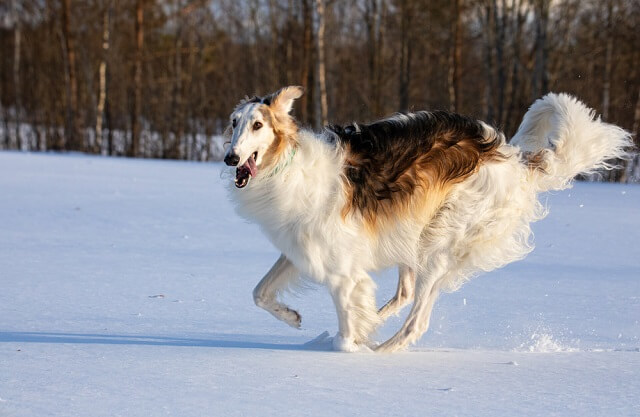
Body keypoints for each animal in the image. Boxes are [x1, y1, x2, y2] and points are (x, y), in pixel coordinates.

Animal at [224, 86, 632, 352]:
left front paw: (349, 348)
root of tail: (512, 157)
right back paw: (377, 326)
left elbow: (346, 332)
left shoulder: (343, 271)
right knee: (405, 295)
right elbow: (259, 292)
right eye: (233, 123)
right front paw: (293, 317)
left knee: (417, 321)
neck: (289, 169)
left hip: (440, 242)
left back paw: (381, 350)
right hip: (413, 236)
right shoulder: (300, 251)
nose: (230, 158)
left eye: (258, 126)